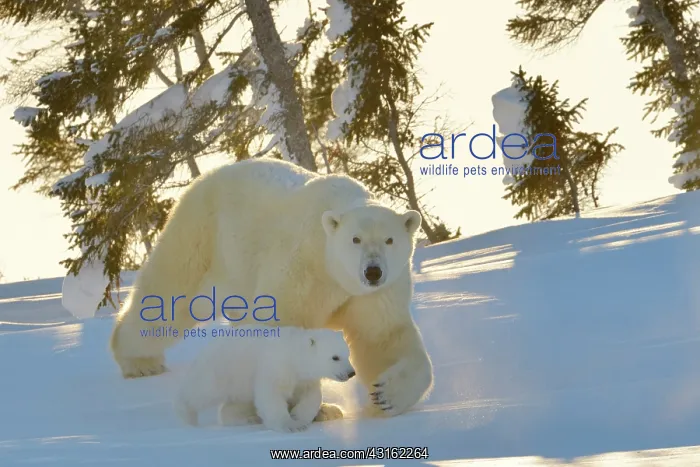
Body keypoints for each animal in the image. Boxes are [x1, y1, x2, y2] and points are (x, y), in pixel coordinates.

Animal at [110, 158, 433, 421]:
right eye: (355, 239)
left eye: (389, 239)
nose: (373, 271)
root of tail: (205, 178)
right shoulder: (302, 268)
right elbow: (281, 331)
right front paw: (315, 409)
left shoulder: (374, 293)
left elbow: (382, 336)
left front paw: (386, 395)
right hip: (202, 236)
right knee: (170, 295)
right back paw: (140, 362)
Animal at [173, 325, 355, 432]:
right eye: (335, 357)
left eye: (348, 354)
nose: (351, 373)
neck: (293, 355)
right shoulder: (276, 367)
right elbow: (271, 396)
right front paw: (290, 425)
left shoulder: (304, 380)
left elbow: (311, 396)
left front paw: (299, 417)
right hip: (221, 371)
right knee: (199, 391)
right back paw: (187, 417)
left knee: (234, 405)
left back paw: (248, 418)